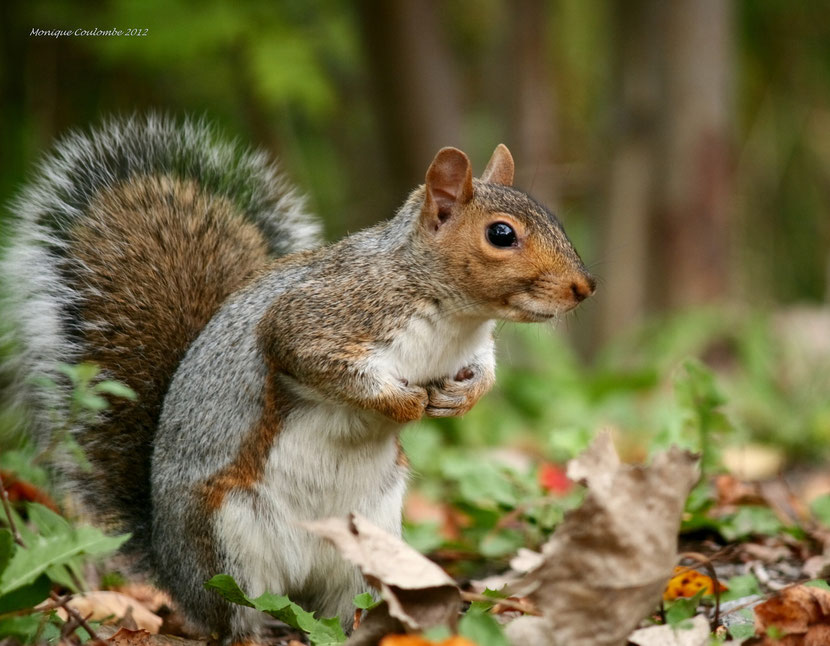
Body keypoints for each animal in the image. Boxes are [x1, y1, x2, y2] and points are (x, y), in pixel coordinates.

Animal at [0, 116, 600, 644]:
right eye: (501, 234)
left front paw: (461, 398)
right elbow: (316, 360)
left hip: (368, 544)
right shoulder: (320, 317)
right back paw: (257, 631)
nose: (584, 287)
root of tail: (171, 573)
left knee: (336, 605)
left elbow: (485, 372)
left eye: (554, 218)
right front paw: (403, 404)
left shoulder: (472, 348)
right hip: (226, 543)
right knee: (234, 615)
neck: (452, 316)